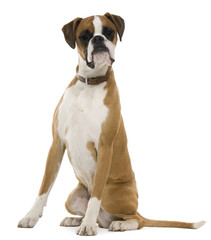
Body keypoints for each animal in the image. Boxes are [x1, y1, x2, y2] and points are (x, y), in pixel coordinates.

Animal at [17, 12, 205, 235]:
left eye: (108, 32)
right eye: (84, 36)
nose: (98, 39)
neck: (90, 83)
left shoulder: (105, 146)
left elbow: (95, 196)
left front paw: (88, 225)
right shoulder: (57, 144)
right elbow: (44, 188)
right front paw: (30, 217)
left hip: (111, 192)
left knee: (135, 220)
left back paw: (119, 223)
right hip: (72, 198)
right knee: (99, 217)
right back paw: (75, 219)